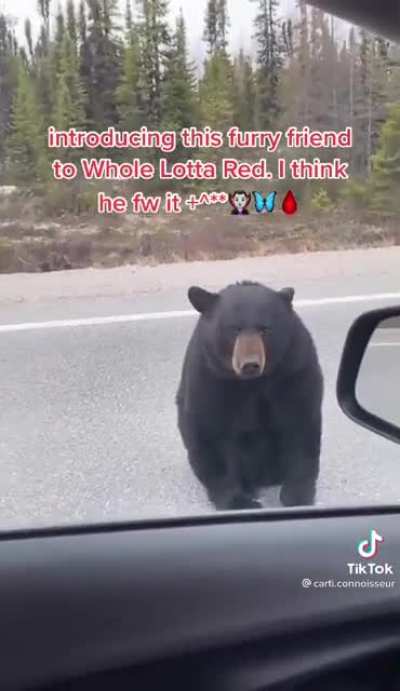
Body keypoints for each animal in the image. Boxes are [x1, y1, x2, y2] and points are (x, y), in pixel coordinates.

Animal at [176, 281, 323, 511]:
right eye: (234, 328)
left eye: (265, 329)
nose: (250, 364)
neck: (252, 383)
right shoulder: (208, 374)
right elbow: (209, 430)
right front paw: (238, 501)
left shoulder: (294, 367)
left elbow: (300, 423)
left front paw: (297, 496)